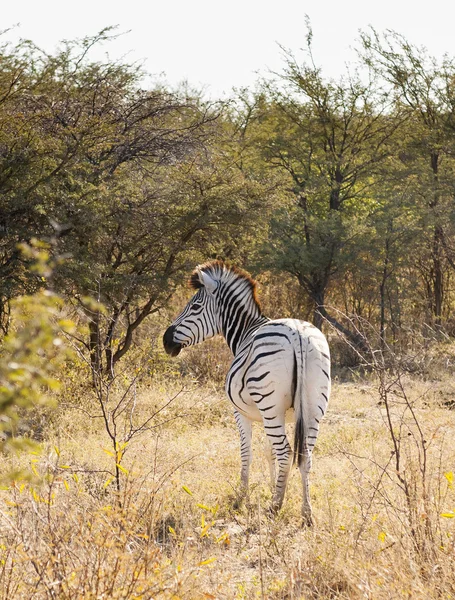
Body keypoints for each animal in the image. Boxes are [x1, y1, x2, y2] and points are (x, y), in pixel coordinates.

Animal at [164, 260, 332, 524]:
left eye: (195, 306)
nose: (166, 340)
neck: (246, 331)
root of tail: (297, 333)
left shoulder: (241, 413)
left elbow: (247, 453)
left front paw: (242, 498)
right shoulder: (278, 416)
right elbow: (269, 452)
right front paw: (274, 487)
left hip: (271, 406)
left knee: (286, 452)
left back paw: (275, 507)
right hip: (313, 408)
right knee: (305, 455)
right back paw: (306, 513)